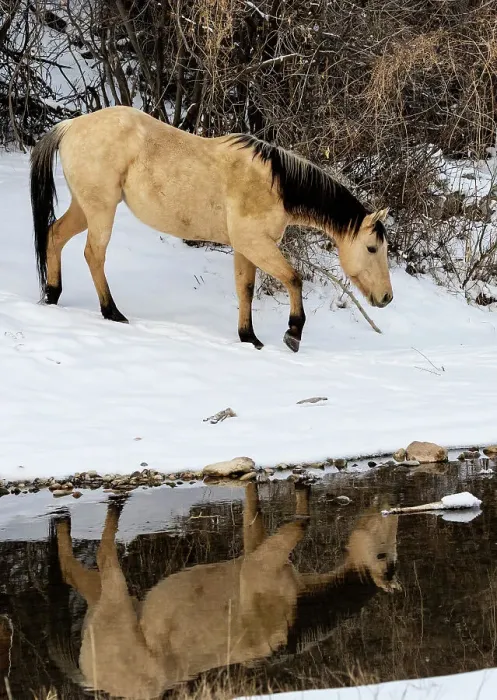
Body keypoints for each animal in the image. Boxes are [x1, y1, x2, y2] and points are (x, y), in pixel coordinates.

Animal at [30, 106, 392, 352]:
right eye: (372, 248)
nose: (387, 298)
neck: (275, 184)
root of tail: (71, 125)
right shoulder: (256, 244)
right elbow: (293, 279)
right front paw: (293, 333)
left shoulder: (245, 248)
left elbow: (245, 289)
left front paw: (249, 338)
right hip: (101, 210)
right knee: (93, 254)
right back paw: (112, 312)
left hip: (85, 208)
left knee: (54, 235)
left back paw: (52, 295)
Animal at [47, 483, 400, 698]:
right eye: (383, 555)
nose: (391, 502)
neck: (298, 612)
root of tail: (93, 681)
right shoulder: (261, 563)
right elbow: (302, 521)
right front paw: (300, 486)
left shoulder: (256, 553)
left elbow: (256, 512)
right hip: (116, 602)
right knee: (102, 552)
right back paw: (115, 501)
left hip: (110, 607)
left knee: (77, 569)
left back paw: (65, 519)